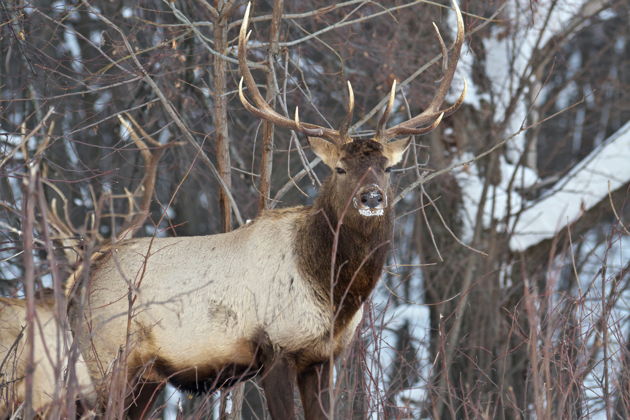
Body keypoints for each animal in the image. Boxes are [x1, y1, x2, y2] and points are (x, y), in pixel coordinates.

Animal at [66, 1, 466, 418]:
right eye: (340, 168)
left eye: (387, 168)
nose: (371, 197)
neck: (333, 294)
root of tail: (79, 283)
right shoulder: (275, 347)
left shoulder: (322, 357)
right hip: (103, 358)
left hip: (147, 376)